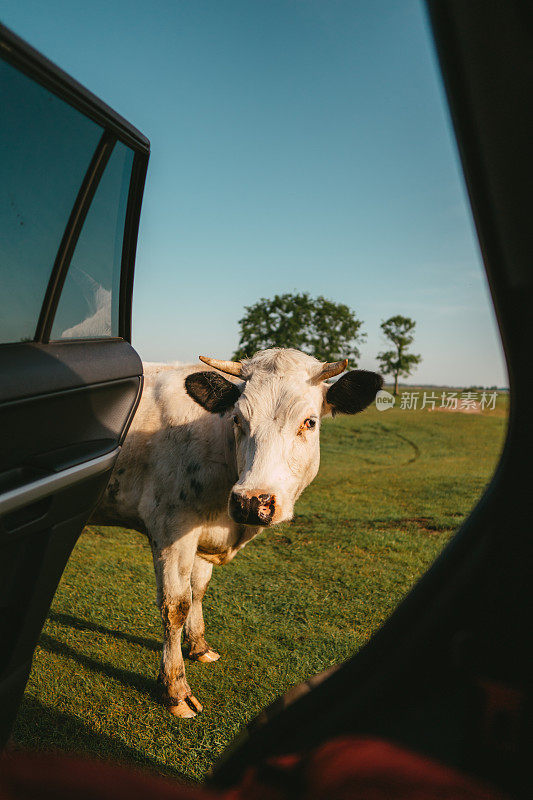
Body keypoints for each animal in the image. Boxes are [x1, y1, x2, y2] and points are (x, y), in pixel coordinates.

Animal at [91, 346, 382, 716]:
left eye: (309, 422)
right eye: (238, 420)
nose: (251, 502)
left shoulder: (201, 536)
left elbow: (197, 591)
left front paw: (199, 647)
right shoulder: (170, 529)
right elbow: (175, 605)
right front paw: (175, 688)